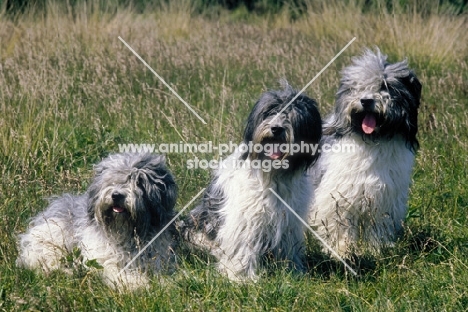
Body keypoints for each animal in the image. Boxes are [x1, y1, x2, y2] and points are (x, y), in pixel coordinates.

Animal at [16, 154, 177, 290]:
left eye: (139, 181)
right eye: (111, 180)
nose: (116, 195)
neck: (127, 232)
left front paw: (166, 282)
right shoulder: (104, 257)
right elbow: (115, 269)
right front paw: (135, 283)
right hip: (53, 237)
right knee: (42, 260)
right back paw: (65, 272)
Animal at [185, 82, 324, 280]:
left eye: (292, 115)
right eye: (269, 112)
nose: (276, 128)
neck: (274, 174)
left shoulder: (289, 221)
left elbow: (288, 248)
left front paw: (291, 272)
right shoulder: (245, 218)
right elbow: (243, 246)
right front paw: (241, 277)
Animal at [308, 48, 422, 258]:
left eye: (385, 86)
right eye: (358, 87)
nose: (366, 100)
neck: (371, 141)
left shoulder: (384, 197)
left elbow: (378, 226)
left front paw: (378, 249)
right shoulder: (336, 196)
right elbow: (339, 225)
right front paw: (343, 251)